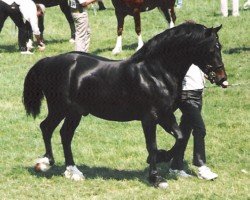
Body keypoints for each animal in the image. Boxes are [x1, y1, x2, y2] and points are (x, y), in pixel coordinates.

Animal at [23, 22, 229, 188]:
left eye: (220, 47)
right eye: (212, 49)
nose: (222, 78)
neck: (155, 73)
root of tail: (50, 61)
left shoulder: (166, 115)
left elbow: (180, 137)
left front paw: (162, 157)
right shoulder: (150, 118)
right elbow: (152, 145)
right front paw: (156, 178)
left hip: (75, 113)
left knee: (65, 135)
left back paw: (73, 172)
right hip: (59, 109)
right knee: (46, 127)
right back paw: (45, 163)